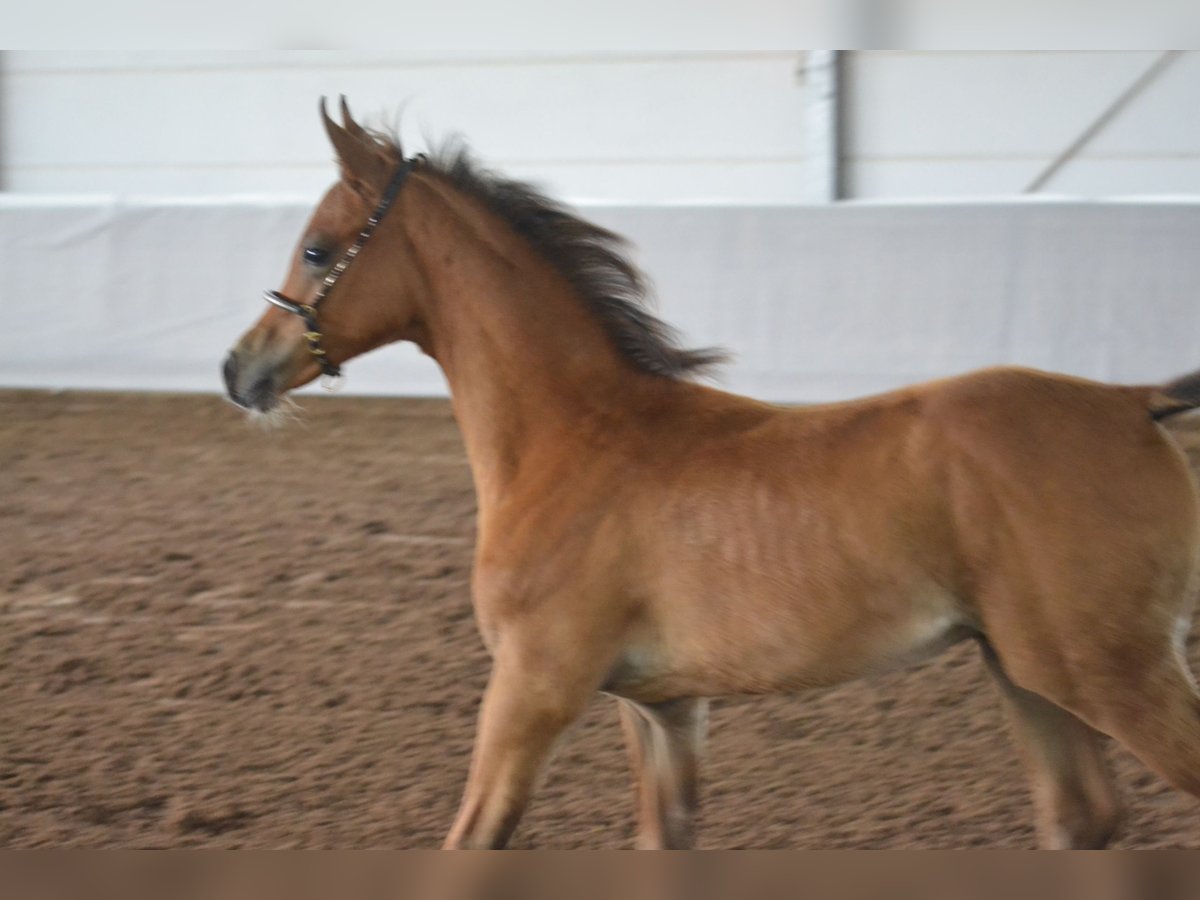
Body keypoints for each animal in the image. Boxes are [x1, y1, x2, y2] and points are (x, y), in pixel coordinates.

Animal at [224, 98, 1200, 849]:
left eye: (316, 249)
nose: (241, 369)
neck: (573, 439)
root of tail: (1133, 401)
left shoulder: (533, 690)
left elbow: (470, 842)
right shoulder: (661, 707)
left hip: (1109, 671)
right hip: (1029, 674)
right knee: (1081, 820)